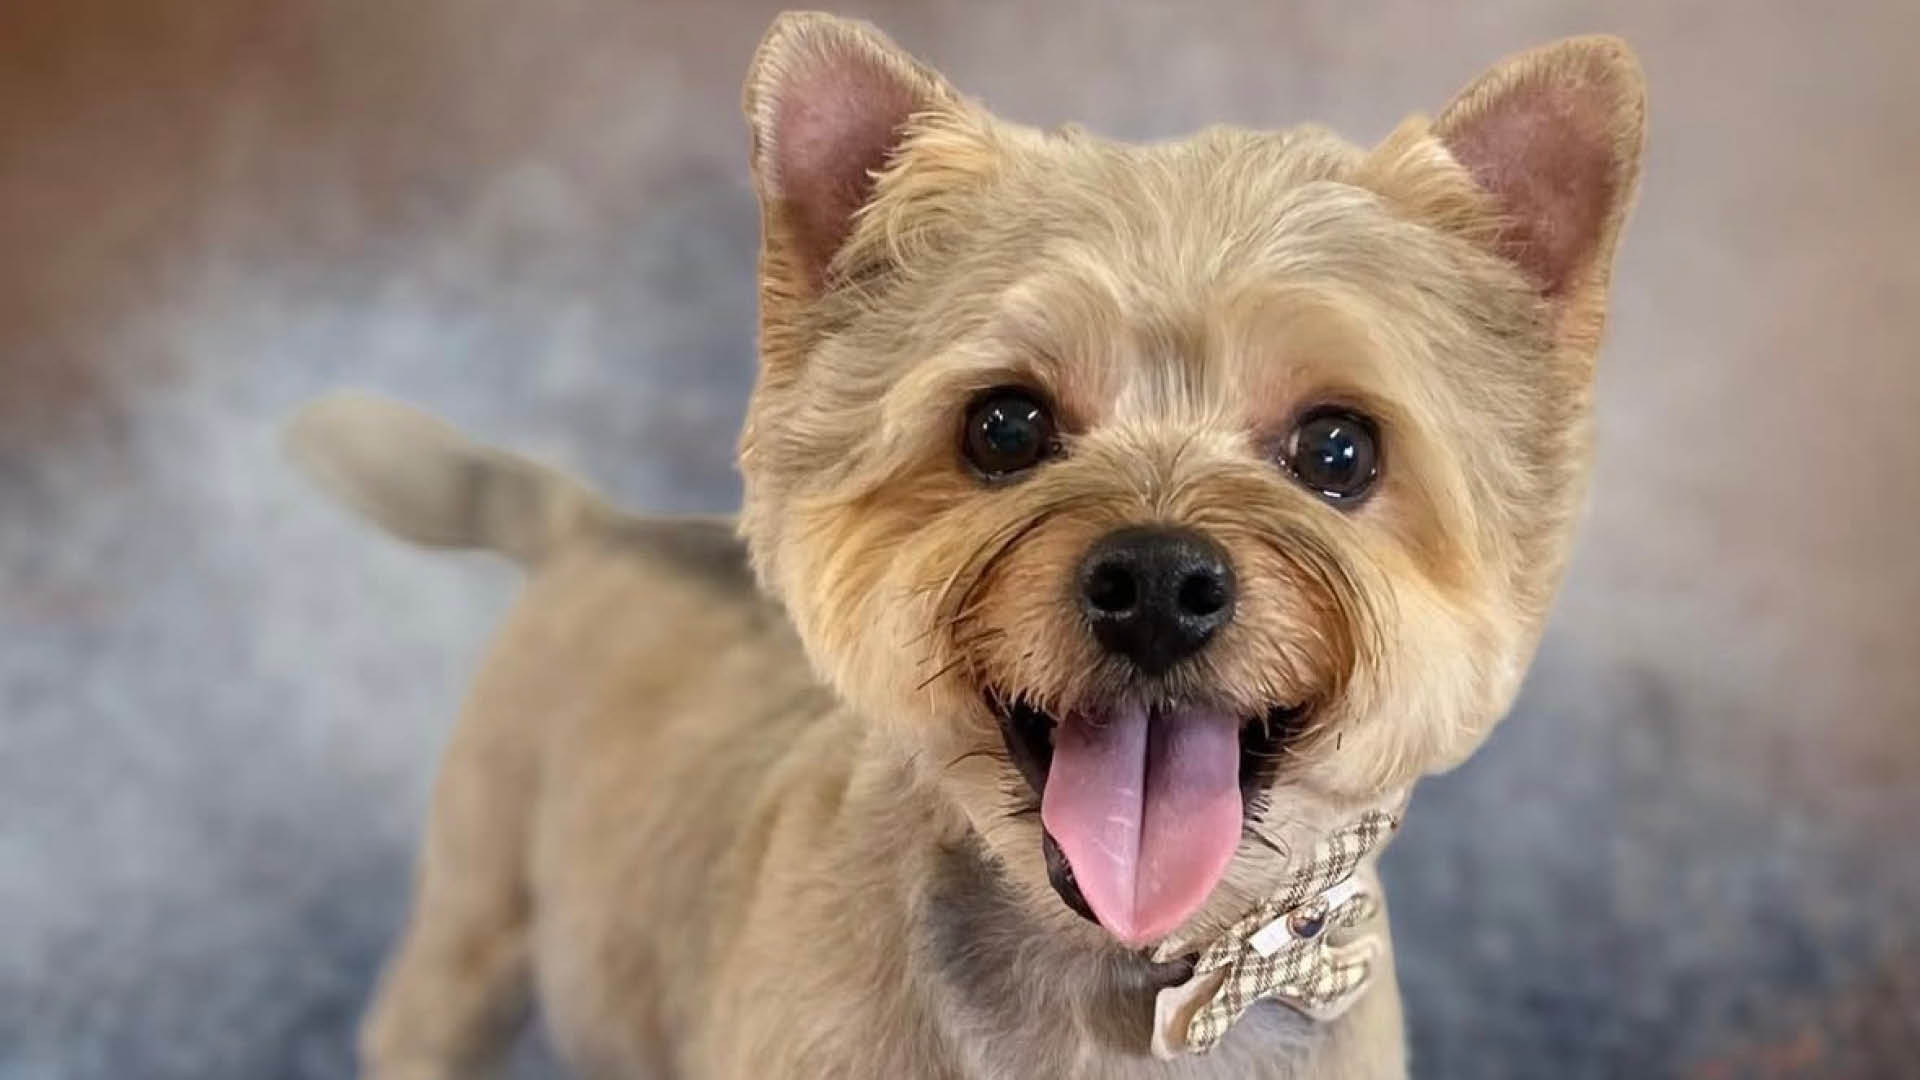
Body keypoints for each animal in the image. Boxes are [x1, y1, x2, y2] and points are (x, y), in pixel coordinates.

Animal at [290, 12, 1644, 1078]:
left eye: (1340, 451)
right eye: (1003, 425)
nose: (1159, 582)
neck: (1119, 978)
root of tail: (598, 523)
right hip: (476, 916)